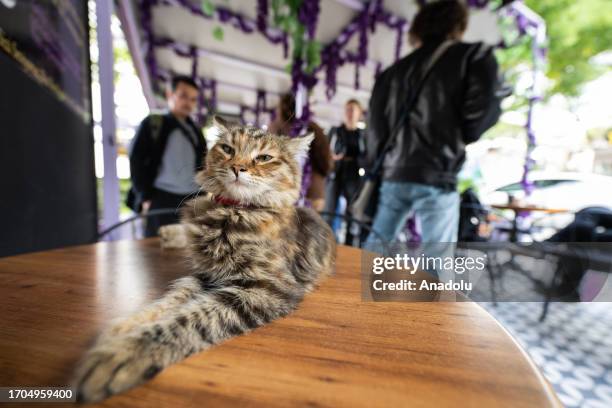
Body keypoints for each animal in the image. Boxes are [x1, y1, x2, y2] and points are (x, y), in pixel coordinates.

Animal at [75, 118, 340, 402]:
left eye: (264, 158)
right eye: (227, 149)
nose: (237, 168)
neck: (232, 213)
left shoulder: (266, 288)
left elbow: (189, 319)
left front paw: (123, 354)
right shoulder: (206, 274)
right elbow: (170, 301)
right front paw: (125, 327)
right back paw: (168, 234)